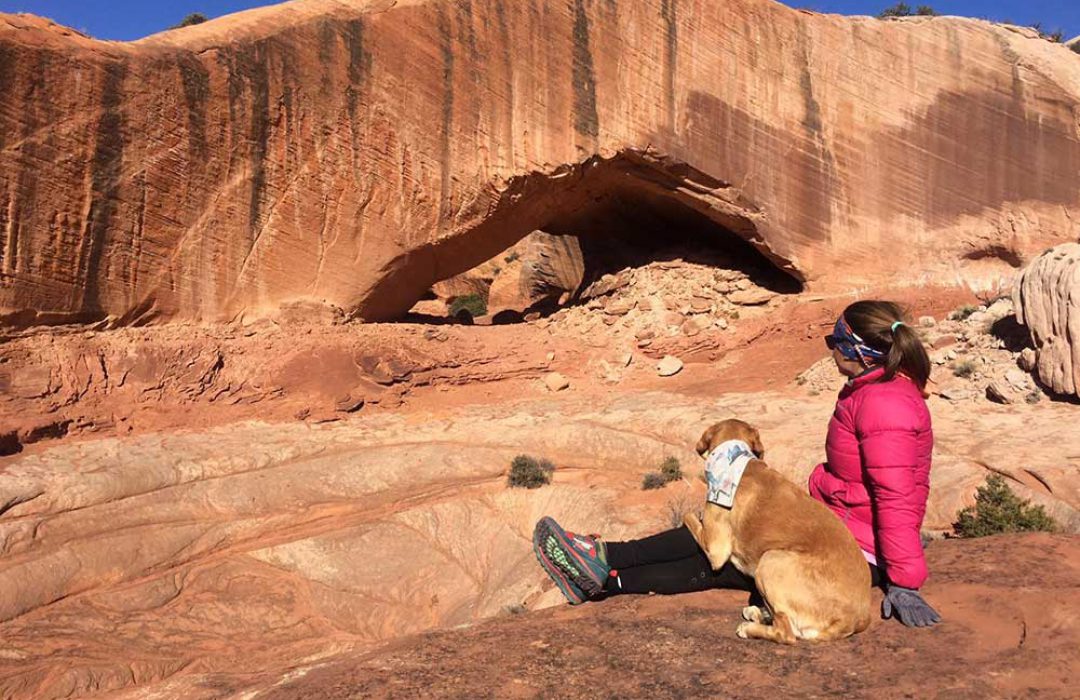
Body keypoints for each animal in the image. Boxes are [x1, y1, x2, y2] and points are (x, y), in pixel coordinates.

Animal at [686, 419, 872, 643]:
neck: (738, 462)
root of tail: (855, 620)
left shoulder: (716, 551)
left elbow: (688, 515)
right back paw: (758, 613)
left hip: (770, 560)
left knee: (786, 632)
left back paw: (749, 628)